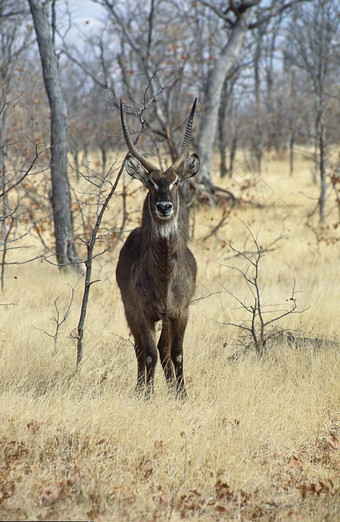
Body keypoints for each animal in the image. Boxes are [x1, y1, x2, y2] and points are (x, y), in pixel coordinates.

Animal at [117, 98, 201, 398]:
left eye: (176, 181)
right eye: (151, 183)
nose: (164, 207)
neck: (164, 278)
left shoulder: (181, 312)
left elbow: (176, 353)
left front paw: (182, 395)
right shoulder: (141, 313)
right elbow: (149, 353)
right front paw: (147, 395)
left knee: (164, 350)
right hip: (130, 311)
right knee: (142, 350)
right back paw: (142, 387)